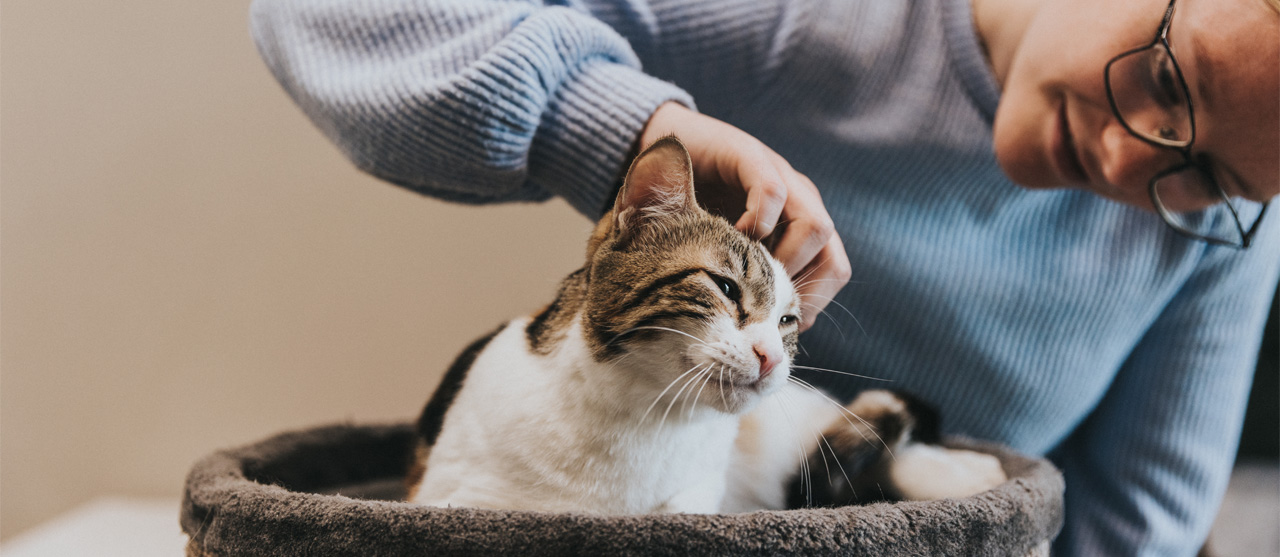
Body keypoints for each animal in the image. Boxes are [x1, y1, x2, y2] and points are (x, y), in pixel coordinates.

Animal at [404, 136, 1003, 514]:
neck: (640, 421)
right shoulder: (450, 499)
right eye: (727, 289)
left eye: (787, 321)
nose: (771, 356)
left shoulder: (695, 497)